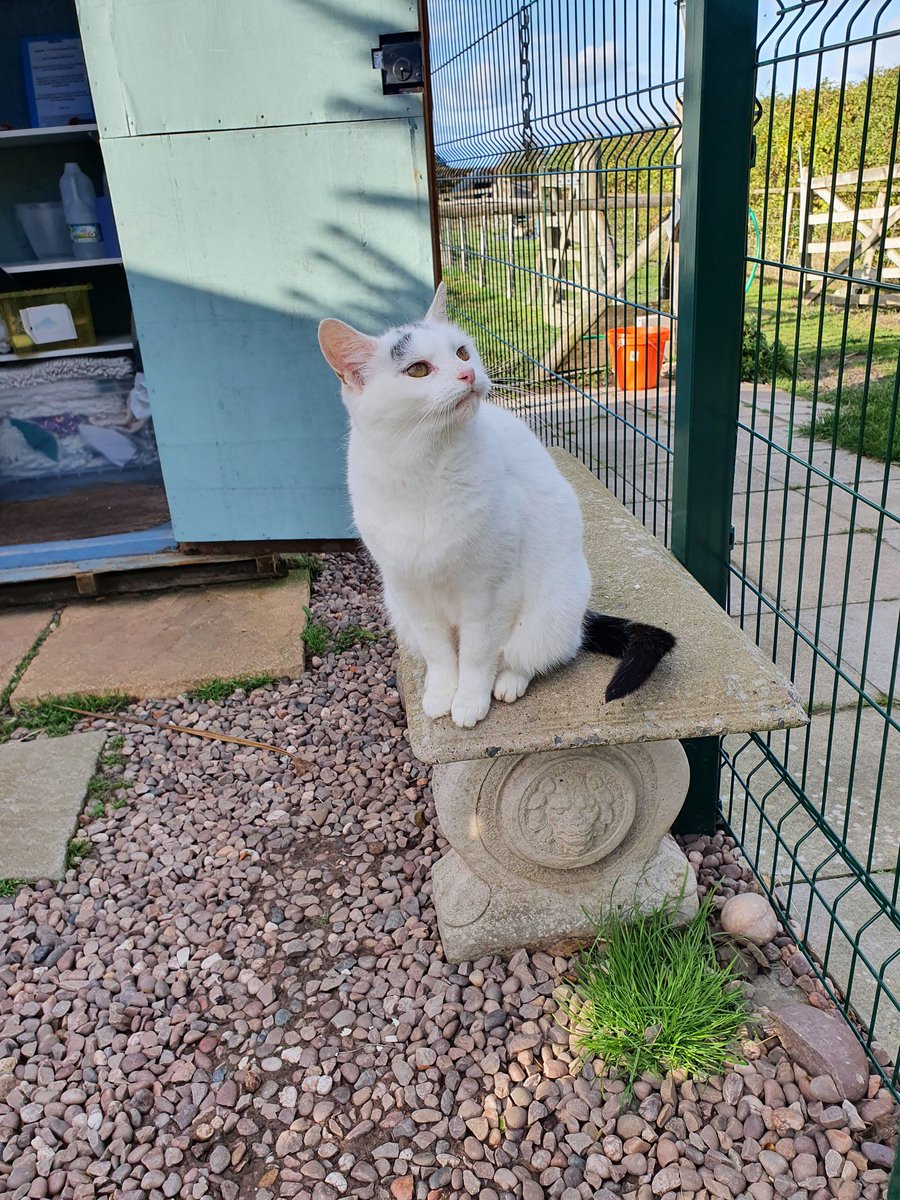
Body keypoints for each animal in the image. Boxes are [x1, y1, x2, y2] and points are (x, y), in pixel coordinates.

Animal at [319, 285, 676, 724]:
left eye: (461, 352)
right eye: (417, 370)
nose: (468, 374)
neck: (424, 468)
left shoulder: (489, 592)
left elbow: (476, 656)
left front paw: (469, 701)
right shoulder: (410, 591)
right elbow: (440, 654)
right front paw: (442, 693)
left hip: (550, 609)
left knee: (531, 654)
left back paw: (508, 683)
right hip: (397, 610)